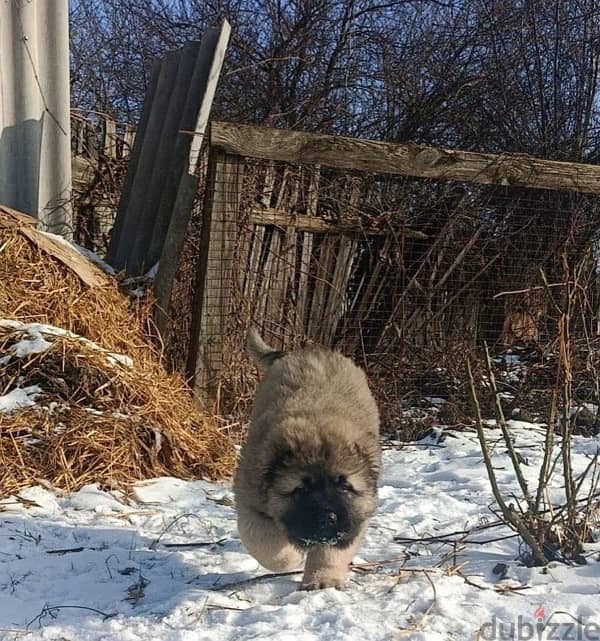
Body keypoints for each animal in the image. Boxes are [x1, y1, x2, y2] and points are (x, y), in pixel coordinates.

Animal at [234, 330, 380, 592]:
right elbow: (267, 543)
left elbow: (331, 550)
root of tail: (307, 351)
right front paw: (291, 555)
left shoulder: (355, 517)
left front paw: (324, 579)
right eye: (300, 488)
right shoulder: (250, 503)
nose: (327, 518)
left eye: (345, 485)